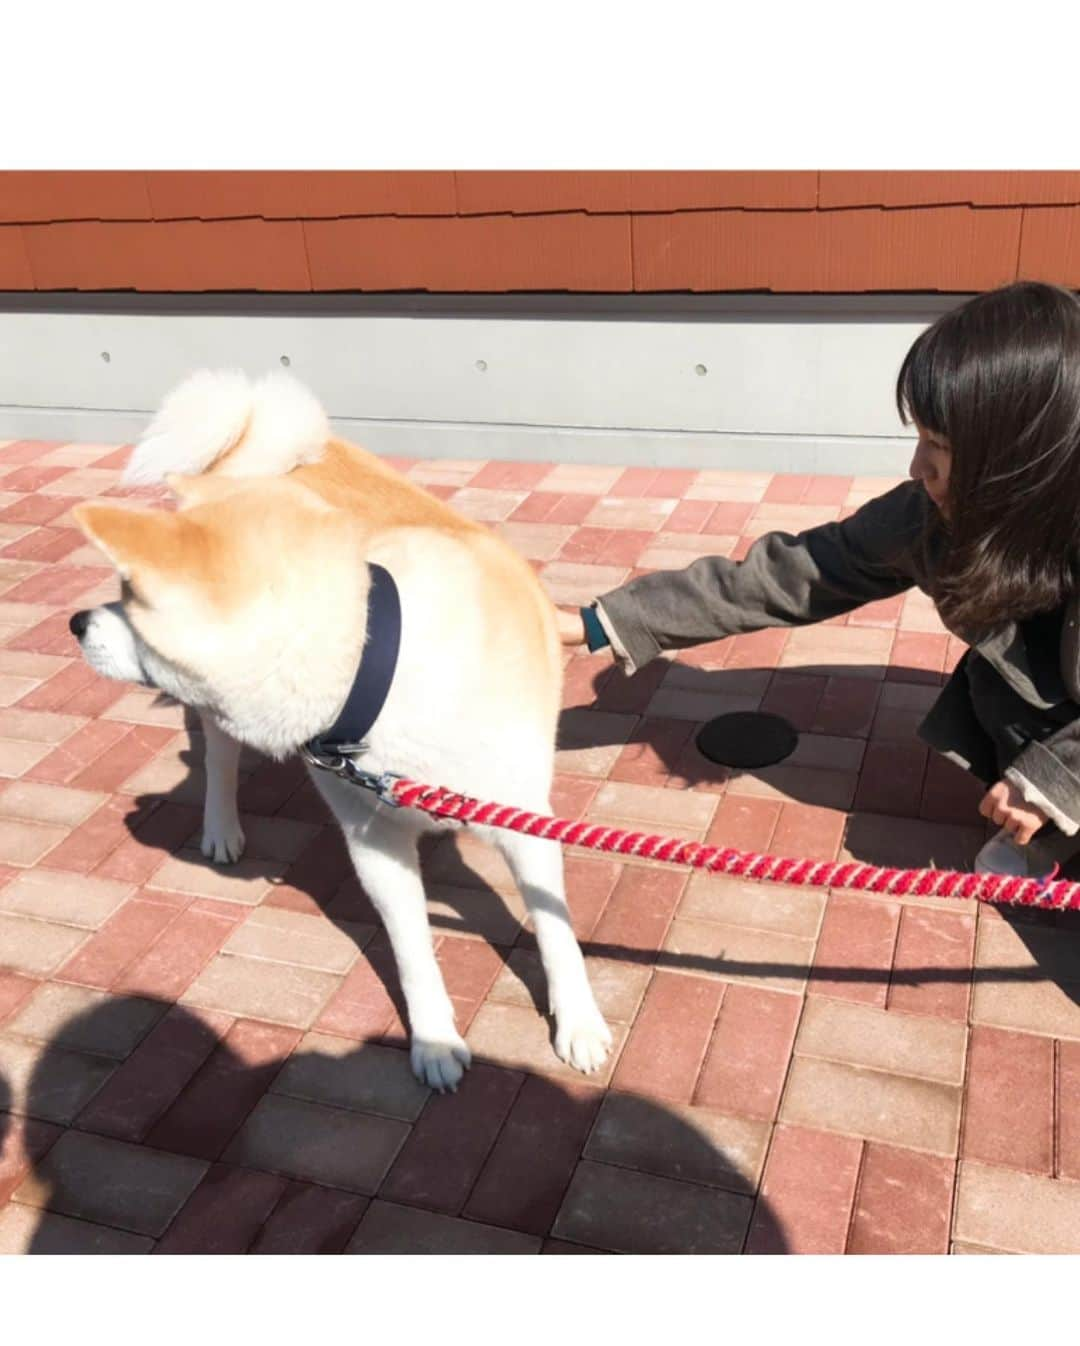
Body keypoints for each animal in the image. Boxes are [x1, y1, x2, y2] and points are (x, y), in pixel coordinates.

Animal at [67, 368, 611, 1092]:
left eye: (129, 597)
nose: (76, 624)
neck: (380, 666)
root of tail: (251, 455)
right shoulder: (374, 842)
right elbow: (412, 952)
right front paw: (434, 1039)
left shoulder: (524, 823)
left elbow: (554, 931)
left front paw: (578, 1024)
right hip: (216, 722)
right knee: (219, 762)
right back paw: (221, 828)